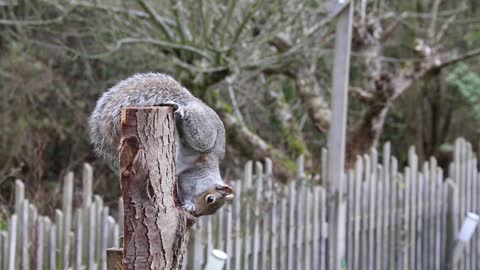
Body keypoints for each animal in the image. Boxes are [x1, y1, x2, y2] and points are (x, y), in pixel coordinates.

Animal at [90, 73, 234, 216]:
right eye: (210, 199)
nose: (196, 214)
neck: (208, 174)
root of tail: (194, 101)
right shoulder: (193, 174)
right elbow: (186, 184)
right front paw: (189, 204)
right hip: (204, 133)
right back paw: (181, 109)